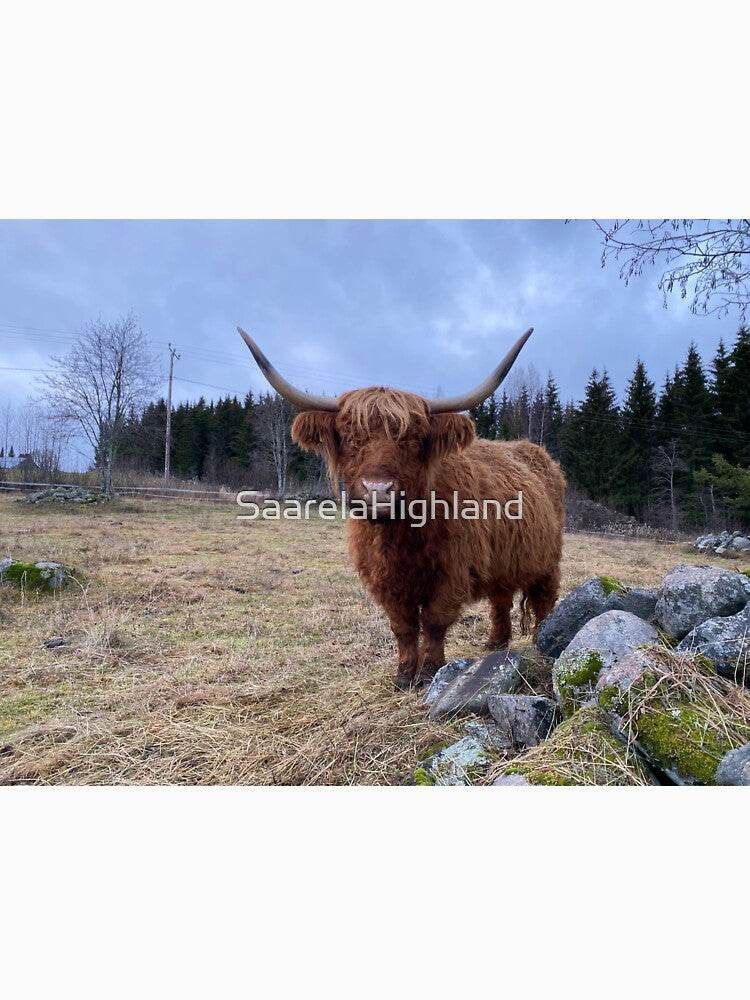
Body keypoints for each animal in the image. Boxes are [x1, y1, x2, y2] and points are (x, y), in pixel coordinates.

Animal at [238, 326, 565, 691]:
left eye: (413, 440)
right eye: (350, 437)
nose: (378, 489)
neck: (399, 537)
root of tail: (536, 452)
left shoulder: (452, 572)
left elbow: (434, 622)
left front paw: (429, 671)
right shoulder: (383, 580)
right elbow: (403, 627)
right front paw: (404, 675)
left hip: (547, 559)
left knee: (544, 599)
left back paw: (541, 642)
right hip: (502, 560)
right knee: (501, 597)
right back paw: (495, 643)